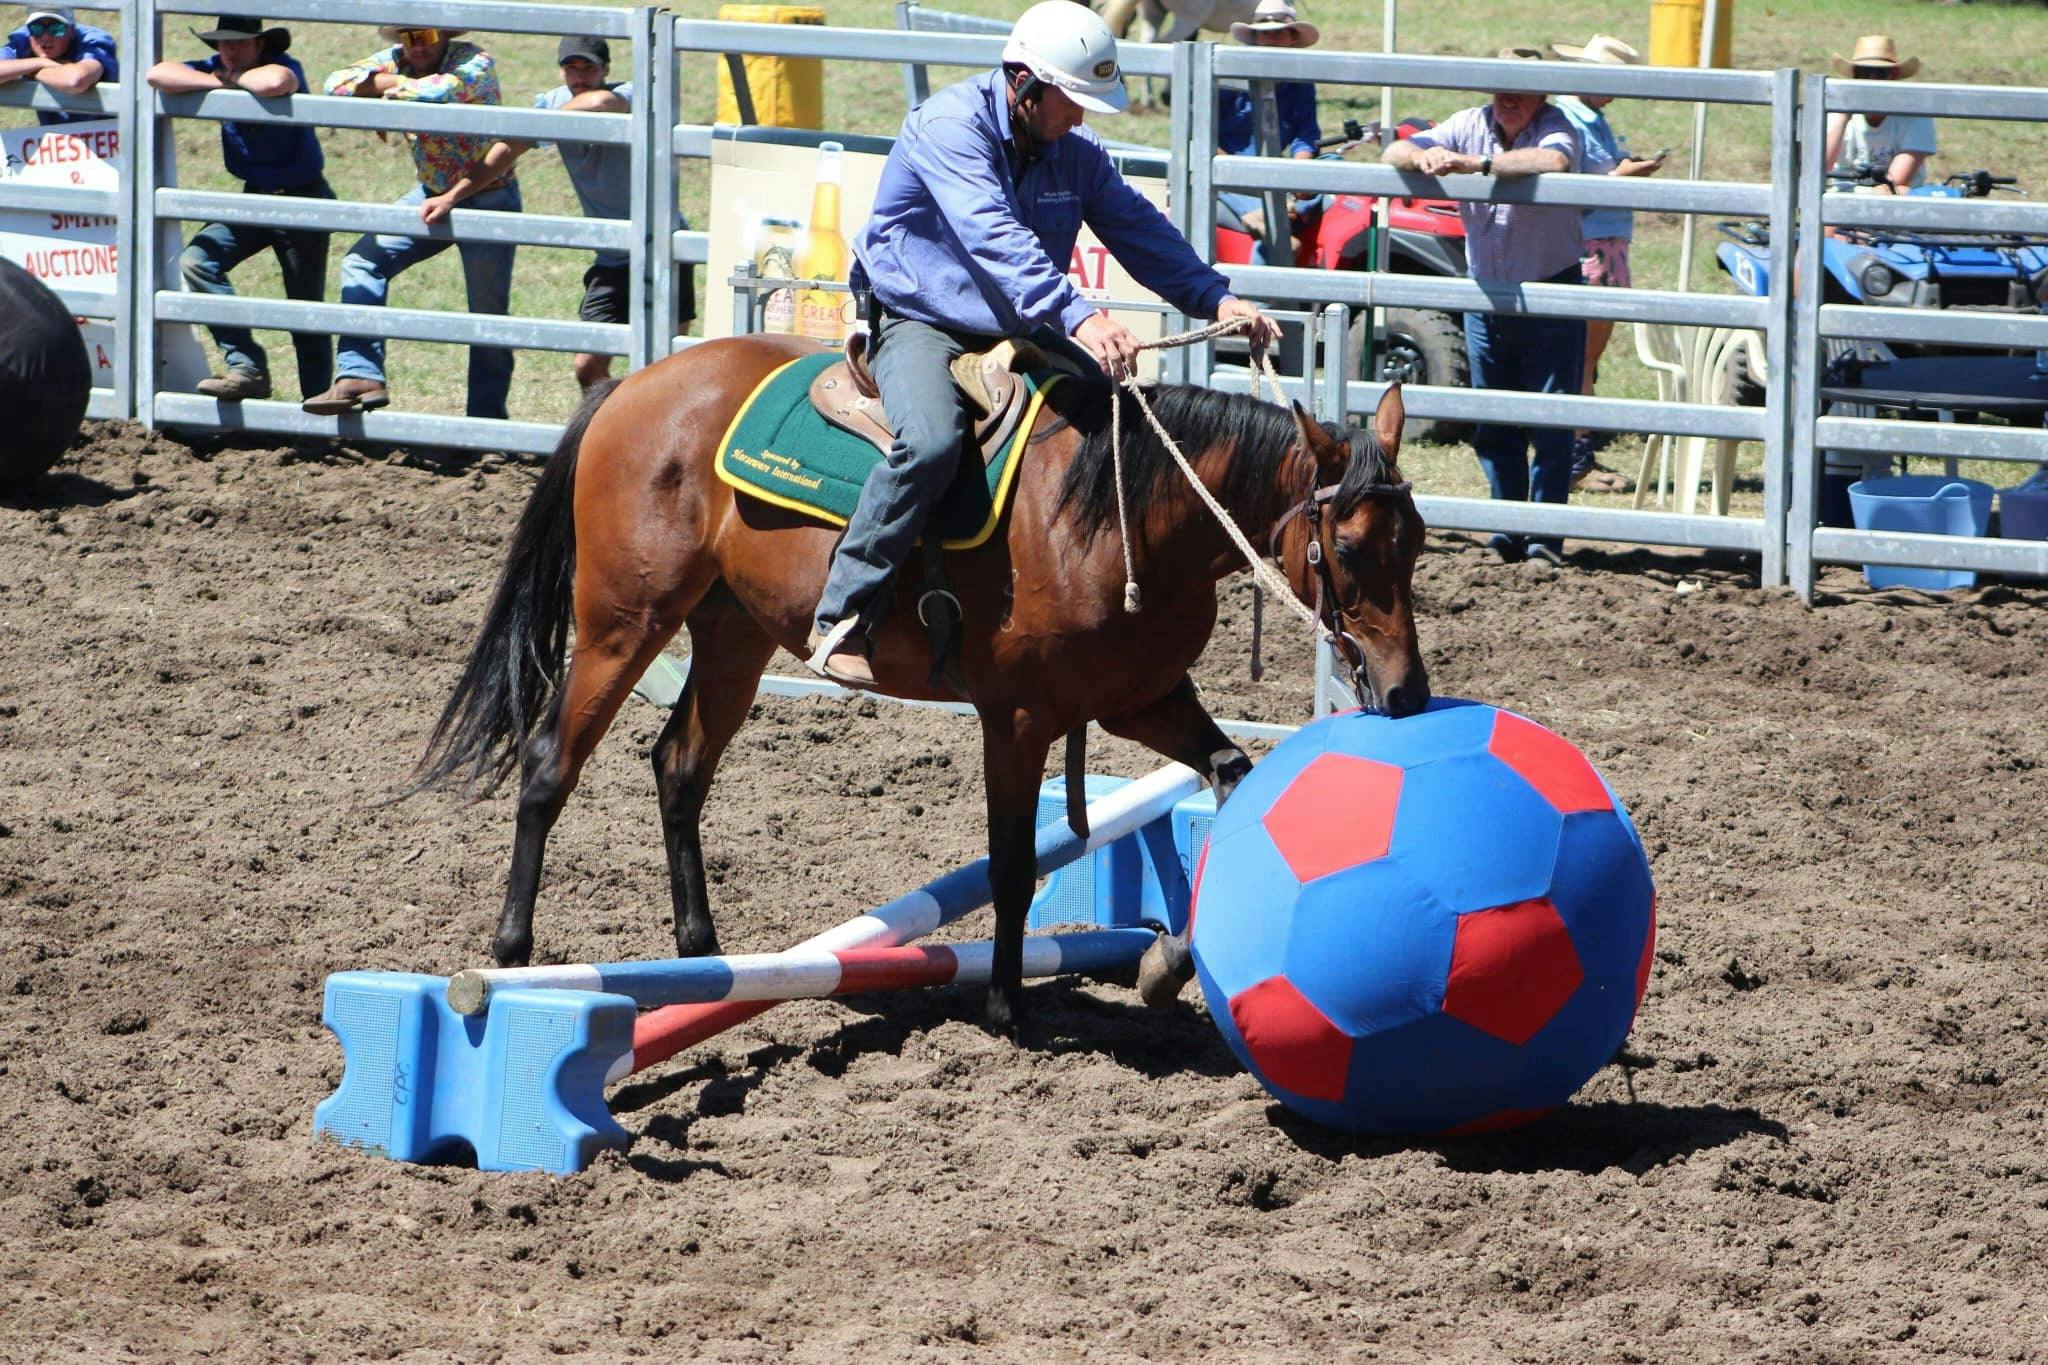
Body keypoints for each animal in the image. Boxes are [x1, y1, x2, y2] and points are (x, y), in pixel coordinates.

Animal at [411, 332, 1428, 1034]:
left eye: (1414, 543)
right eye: (1345, 548)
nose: (1408, 694)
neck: (1115, 514)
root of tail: (631, 387)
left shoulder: (1141, 699)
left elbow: (1233, 774)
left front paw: (1166, 963)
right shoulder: (1015, 718)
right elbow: (1013, 864)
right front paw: (1009, 1007)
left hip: (732, 634)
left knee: (679, 765)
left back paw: (705, 957)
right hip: (622, 622)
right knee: (551, 765)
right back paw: (512, 955)